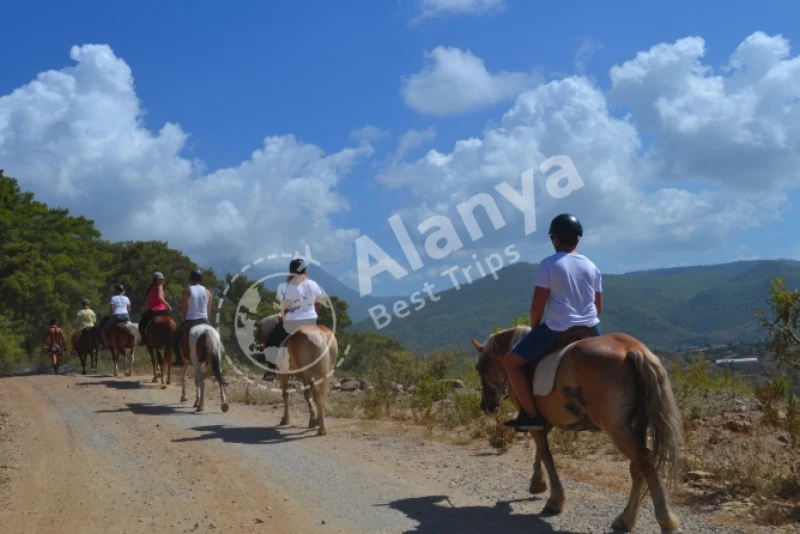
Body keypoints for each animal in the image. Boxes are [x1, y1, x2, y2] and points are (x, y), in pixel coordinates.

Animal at [472, 326, 684, 534]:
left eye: (480, 368)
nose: (487, 406)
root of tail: (632, 349)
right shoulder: (544, 422)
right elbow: (540, 452)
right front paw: (537, 483)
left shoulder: (534, 422)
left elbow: (546, 455)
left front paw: (554, 500)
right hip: (638, 423)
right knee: (637, 466)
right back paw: (626, 519)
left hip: (617, 428)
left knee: (644, 459)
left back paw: (665, 520)